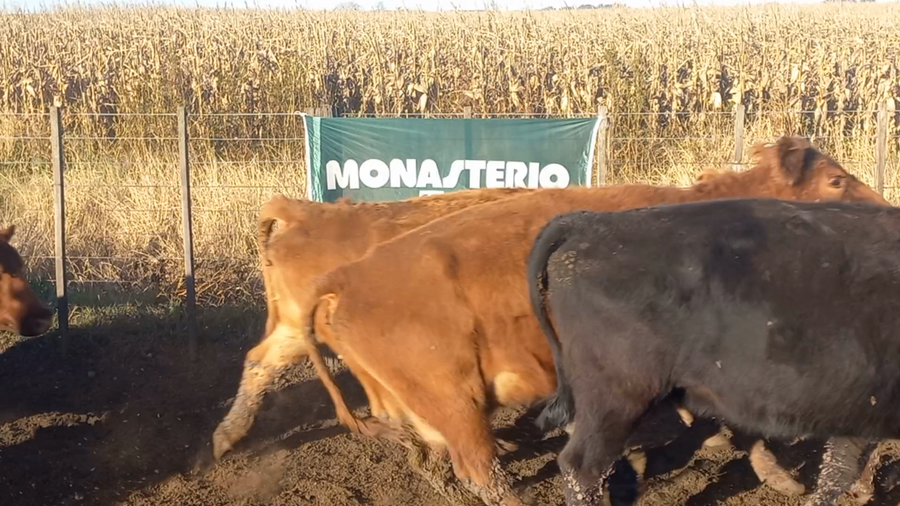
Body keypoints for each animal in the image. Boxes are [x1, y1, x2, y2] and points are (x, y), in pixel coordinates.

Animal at [289, 136, 891, 506]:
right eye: (836, 182)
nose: (887, 215)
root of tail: (348, 275)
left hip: (418, 410)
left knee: (435, 464)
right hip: (455, 402)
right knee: (483, 472)